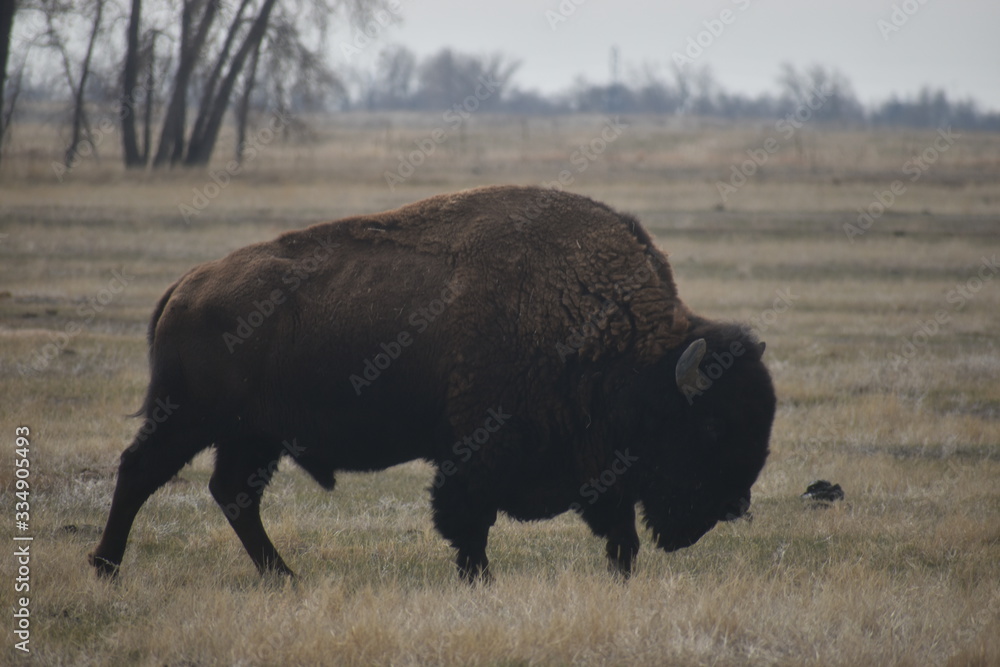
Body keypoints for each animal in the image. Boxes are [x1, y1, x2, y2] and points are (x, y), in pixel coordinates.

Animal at [90, 185, 776, 580]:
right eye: (711, 425)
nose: (734, 505)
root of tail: (186, 287)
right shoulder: (475, 451)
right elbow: (468, 520)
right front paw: (479, 580)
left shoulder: (596, 465)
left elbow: (619, 532)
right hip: (188, 419)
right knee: (140, 472)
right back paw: (105, 568)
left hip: (251, 436)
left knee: (232, 494)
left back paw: (283, 577)